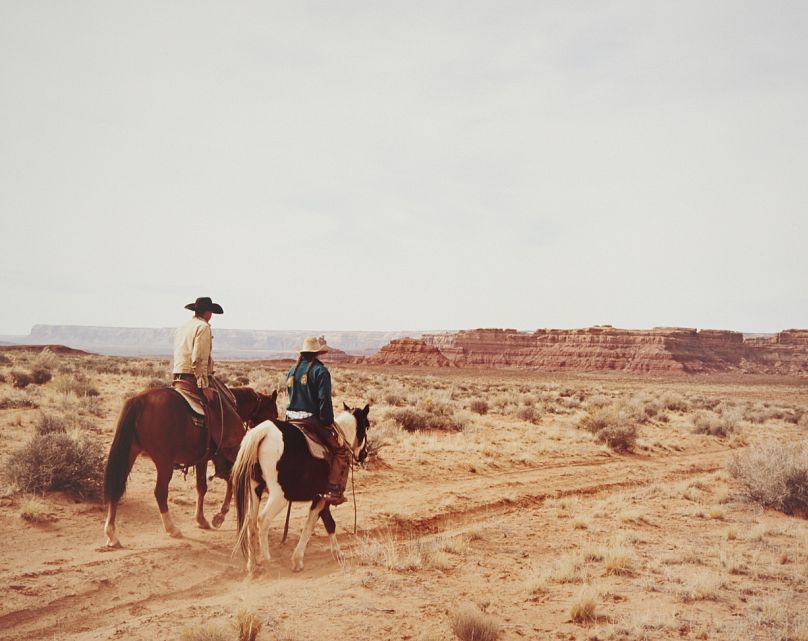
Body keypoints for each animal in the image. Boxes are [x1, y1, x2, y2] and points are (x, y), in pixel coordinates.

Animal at [102, 382, 278, 548]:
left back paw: (111, 535)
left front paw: (202, 519)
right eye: (274, 413)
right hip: (163, 462)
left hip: (130, 452)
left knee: (116, 488)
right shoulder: (219, 457)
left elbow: (202, 487)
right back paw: (171, 528)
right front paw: (219, 516)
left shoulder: (203, 460)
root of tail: (139, 400)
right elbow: (227, 482)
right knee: (160, 492)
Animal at [232, 402, 370, 572]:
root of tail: (263, 431)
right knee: (262, 520)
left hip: (254, 489)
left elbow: (327, 523)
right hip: (279, 496)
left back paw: (252, 564)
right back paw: (267, 560)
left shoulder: (321, 497)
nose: (364, 454)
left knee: (250, 521)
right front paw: (299, 559)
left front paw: (336, 553)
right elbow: (313, 524)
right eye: (367, 426)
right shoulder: (321, 498)